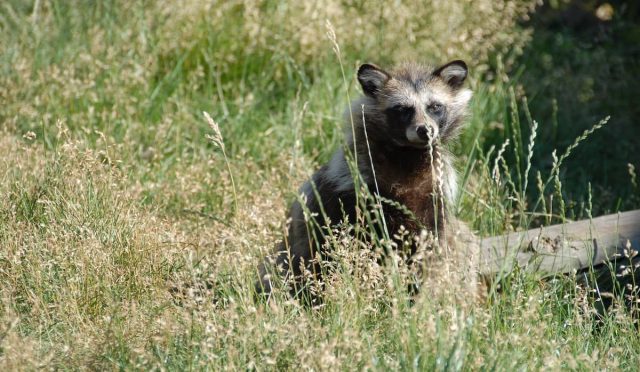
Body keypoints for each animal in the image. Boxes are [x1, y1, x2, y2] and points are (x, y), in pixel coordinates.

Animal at [258, 59, 478, 300]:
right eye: (402, 109)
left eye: (435, 107)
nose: (425, 130)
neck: (409, 156)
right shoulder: (356, 187)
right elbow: (352, 241)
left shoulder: (433, 194)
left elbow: (428, 246)